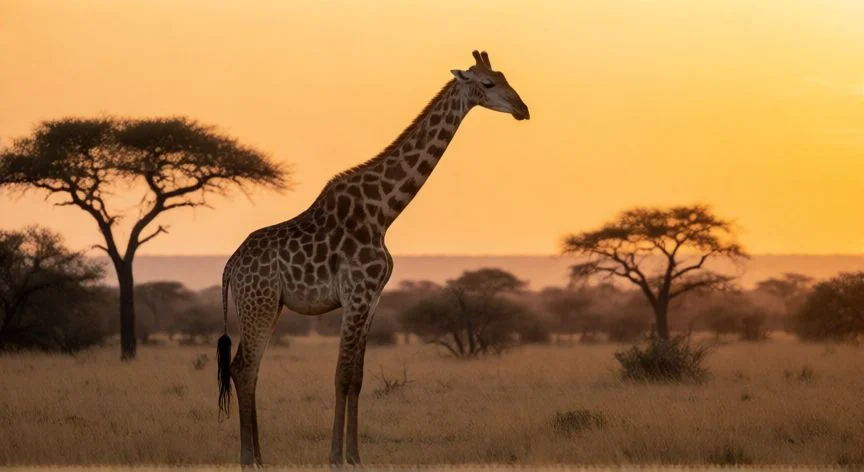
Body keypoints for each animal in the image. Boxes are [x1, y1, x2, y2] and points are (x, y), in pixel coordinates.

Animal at [216, 49, 530, 467]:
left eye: (504, 76)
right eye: (488, 83)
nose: (523, 108)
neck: (384, 211)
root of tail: (231, 266)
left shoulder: (373, 298)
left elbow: (357, 377)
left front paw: (355, 455)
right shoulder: (356, 294)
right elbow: (341, 375)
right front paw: (336, 457)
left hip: (270, 305)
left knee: (247, 368)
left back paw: (260, 457)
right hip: (260, 303)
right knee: (244, 367)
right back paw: (249, 458)